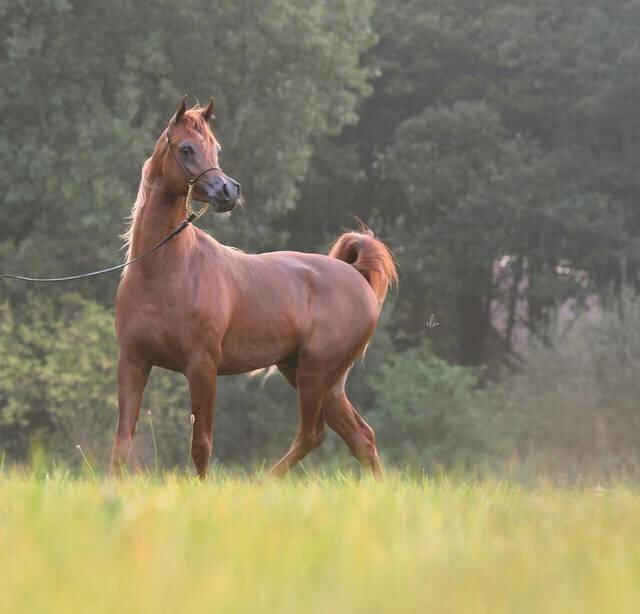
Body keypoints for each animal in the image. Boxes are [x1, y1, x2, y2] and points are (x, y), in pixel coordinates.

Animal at [112, 96, 397, 479]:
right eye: (186, 149)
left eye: (215, 148)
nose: (228, 191)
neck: (164, 272)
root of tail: (355, 273)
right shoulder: (133, 363)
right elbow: (122, 442)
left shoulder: (202, 367)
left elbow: (201, 445)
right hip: (313, 376)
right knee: (360, 438)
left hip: (316, 373)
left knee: (313, 434)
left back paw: (262, 482)